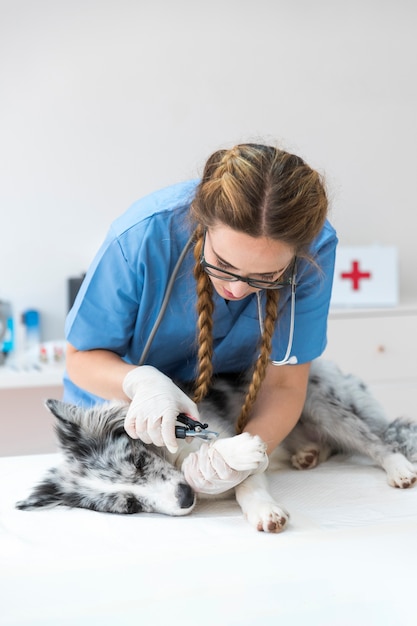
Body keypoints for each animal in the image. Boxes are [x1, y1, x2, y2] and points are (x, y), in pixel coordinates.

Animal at [16, 360, 416, 532]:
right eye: (130, 507)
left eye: (138, 462)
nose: (184, 498)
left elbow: (244, 479)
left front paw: (265, 511)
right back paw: (308, 455)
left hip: (321, 405)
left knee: (378, 441)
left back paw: (399, 470)